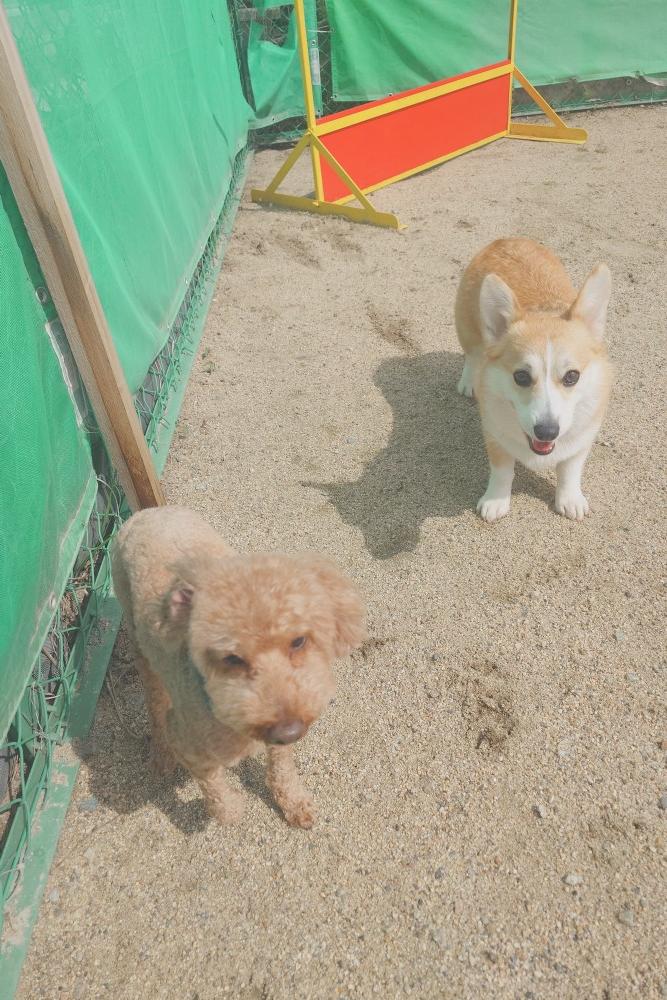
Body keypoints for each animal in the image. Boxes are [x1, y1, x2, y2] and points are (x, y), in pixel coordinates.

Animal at [111, 506, 366, 828]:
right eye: (232, 658)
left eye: (298, 641)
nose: (290, 731)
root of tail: (149, 512)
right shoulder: (188, 744)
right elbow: (213, 786)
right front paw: (231, 811)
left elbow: (282, 766)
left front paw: (293, 802)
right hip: (139, 644)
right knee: (155, 703)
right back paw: (160, 756)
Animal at [455, 237, 612, 522]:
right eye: (521, 376)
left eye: (572, 376)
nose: (547, 432)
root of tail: (505, 239)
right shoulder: (494, 435)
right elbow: (502, 471)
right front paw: (495, 501)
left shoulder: (582, 440)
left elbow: (570, 470)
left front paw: (570, 500)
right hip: (467, 327)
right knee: (472, 354)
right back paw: (468, 382)